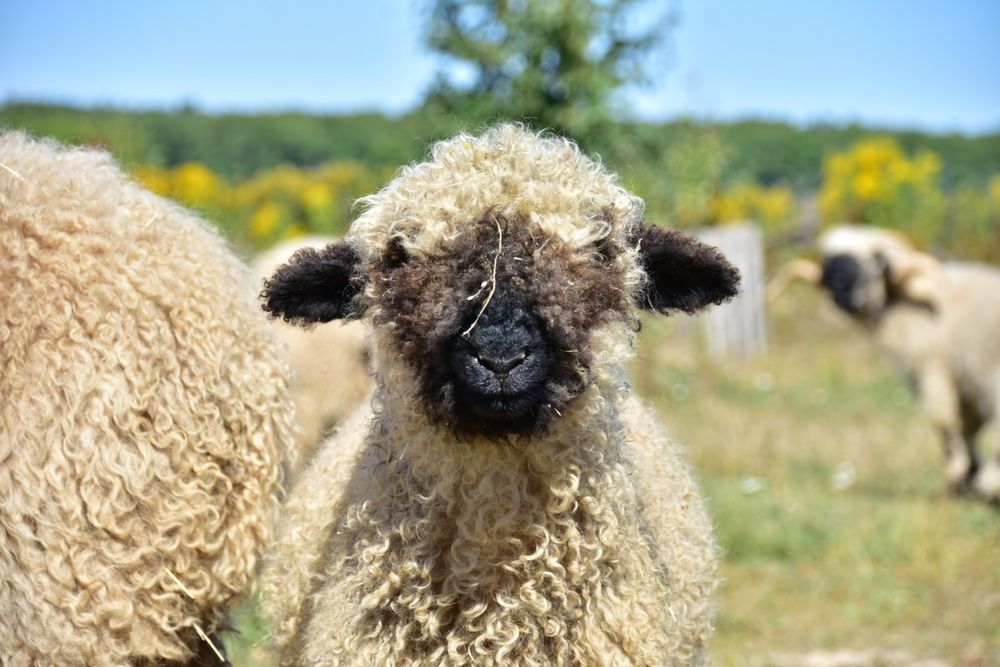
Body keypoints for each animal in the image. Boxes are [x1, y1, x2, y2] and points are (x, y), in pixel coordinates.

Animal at [780, 224, 1000, 500]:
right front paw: (967, 478)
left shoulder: (934, 369)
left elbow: (946, 424)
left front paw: (959, 478)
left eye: (877, 262)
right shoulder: (966, 384)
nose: (837, 287)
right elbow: (967, 429)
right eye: (827, 259)